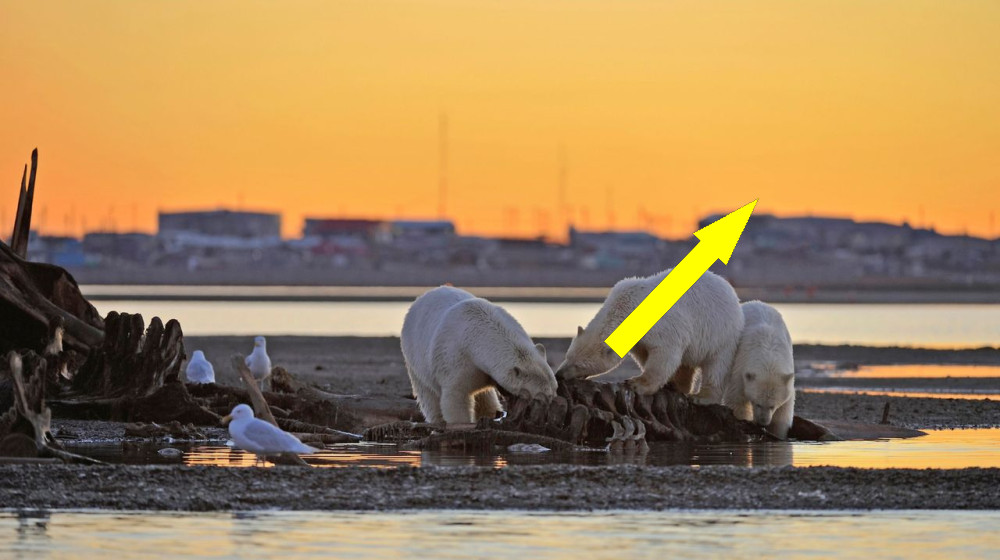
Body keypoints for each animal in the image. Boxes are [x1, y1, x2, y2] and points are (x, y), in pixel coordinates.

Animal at [400, 285, 558, 424]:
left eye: (555, 388)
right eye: (539, 396)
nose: (550, 404)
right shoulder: (457, 359)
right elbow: (455, 397)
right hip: (414, 357)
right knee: (428, 394)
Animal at [555, 269, 744, 397]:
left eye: (579, 365)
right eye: (568, 356)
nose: (559, 375)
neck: (627, 306)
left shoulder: (664, 327)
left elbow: (664, 354)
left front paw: (636, 384)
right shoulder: (640, 340)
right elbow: (645, 354)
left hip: (722, 334)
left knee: (716, 367)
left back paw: (702, 396)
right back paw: (678, 386)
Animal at [721, 300, 796, 439]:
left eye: (772, 406)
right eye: (757, 403)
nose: (763, 423)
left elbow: (784, 410)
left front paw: (776, 433)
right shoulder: (740, 368)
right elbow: (737, 399)